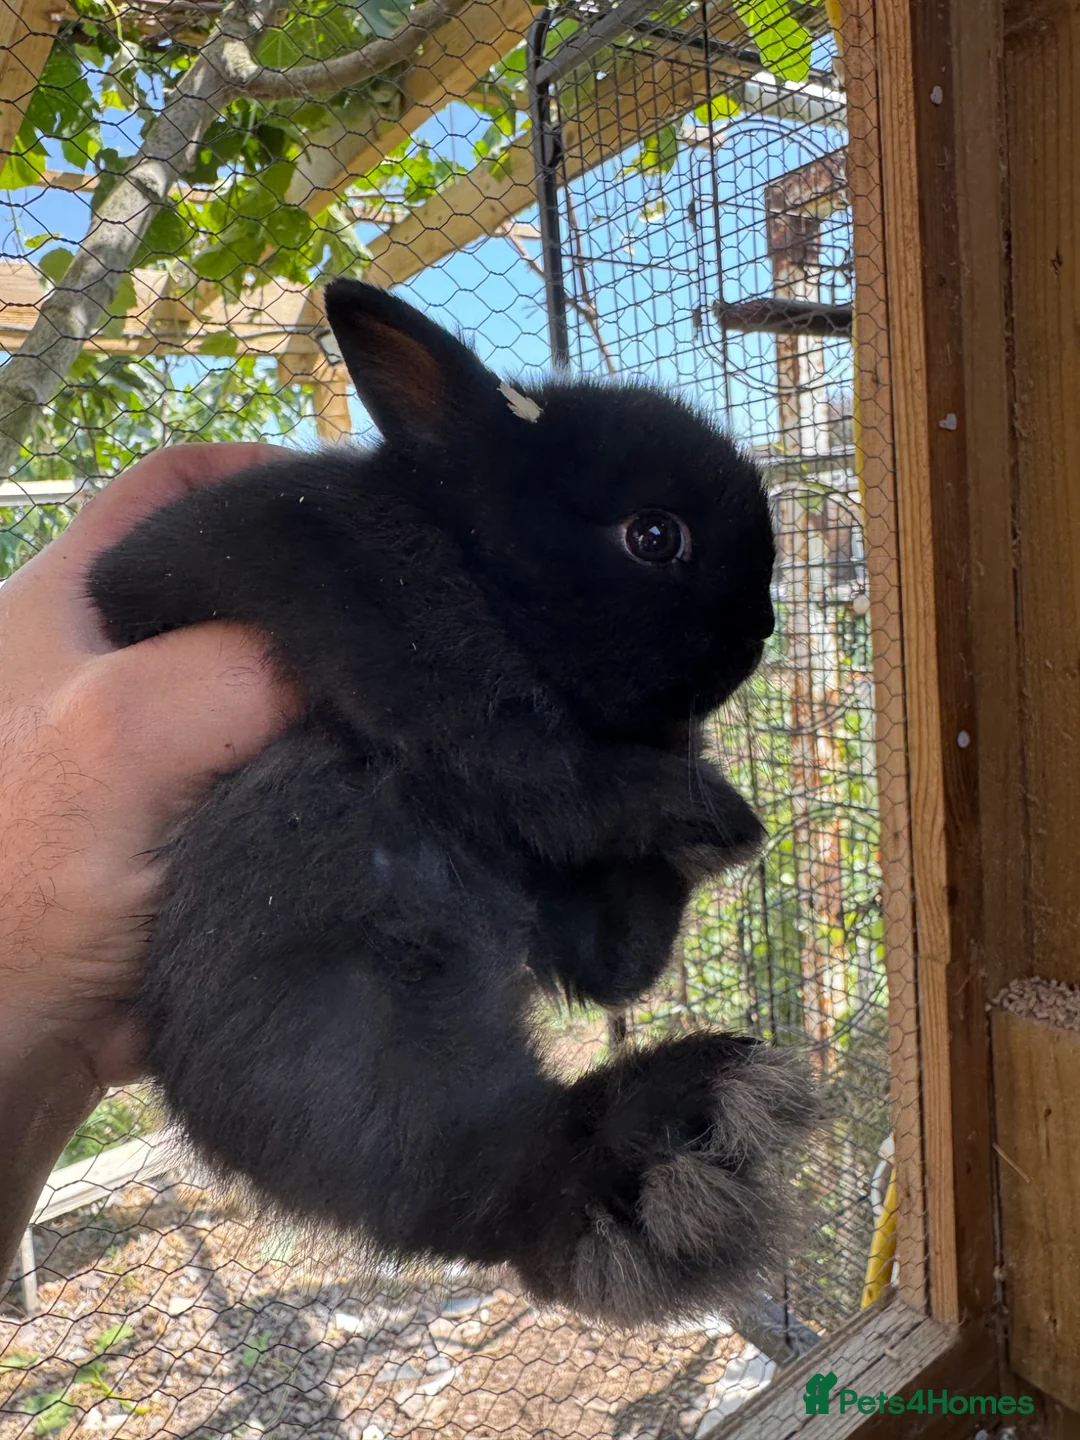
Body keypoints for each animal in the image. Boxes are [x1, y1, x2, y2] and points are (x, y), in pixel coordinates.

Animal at [87, 279, 820, 1327]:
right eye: (653, 536)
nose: (761, 629)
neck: (475, 566)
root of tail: (531, 1199)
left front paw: (703, 797)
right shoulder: (368, 611)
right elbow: (504, 743)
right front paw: (699, 801)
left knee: (611, 974)